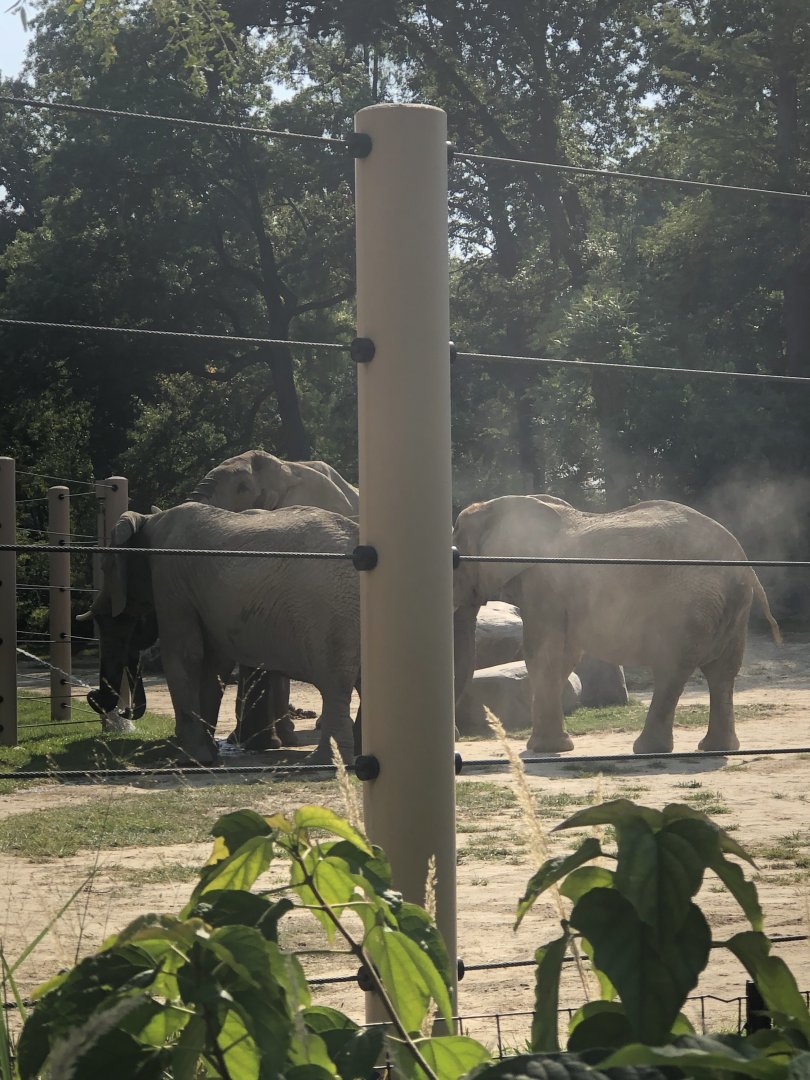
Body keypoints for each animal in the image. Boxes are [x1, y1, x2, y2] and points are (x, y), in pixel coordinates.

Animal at [80, 502, 360, 766]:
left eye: (104, 568)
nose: (94, 697)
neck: (150, 519)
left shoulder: (170, 578)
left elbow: (184, 655)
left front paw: (191, 760)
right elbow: (214, 662)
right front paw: (209, 755)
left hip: (329, 611)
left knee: (335, 683)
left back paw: (323, 761)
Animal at [452, 494, 782, 756]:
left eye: (458, 558)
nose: (457, 738)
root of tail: (745, 563)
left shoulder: (545, 584)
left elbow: (541, 655)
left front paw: (543, 749)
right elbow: (566, 657)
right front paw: (552, 747)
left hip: (689, 605)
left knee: (672, 669)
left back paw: (649, 749)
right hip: (733, 607)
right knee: (722, 672)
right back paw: (716, 748)